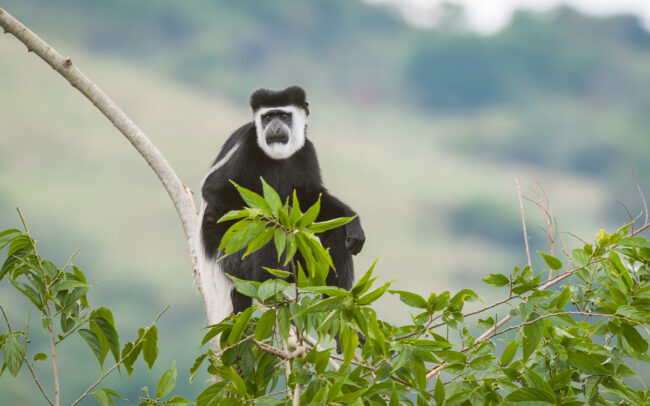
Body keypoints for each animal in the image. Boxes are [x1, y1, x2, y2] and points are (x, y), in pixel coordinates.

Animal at [197, 86, 365, 319]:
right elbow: (214, 191)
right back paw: (268, 289)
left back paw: (337, 300)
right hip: (232, 258)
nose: (275, 127)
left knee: (336, 232)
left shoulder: (306, 151)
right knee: (268, 228)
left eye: (284, 116)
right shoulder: (247, 146)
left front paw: (353, 221)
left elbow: (313, 196)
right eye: (268, 117)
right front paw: (282, 210)